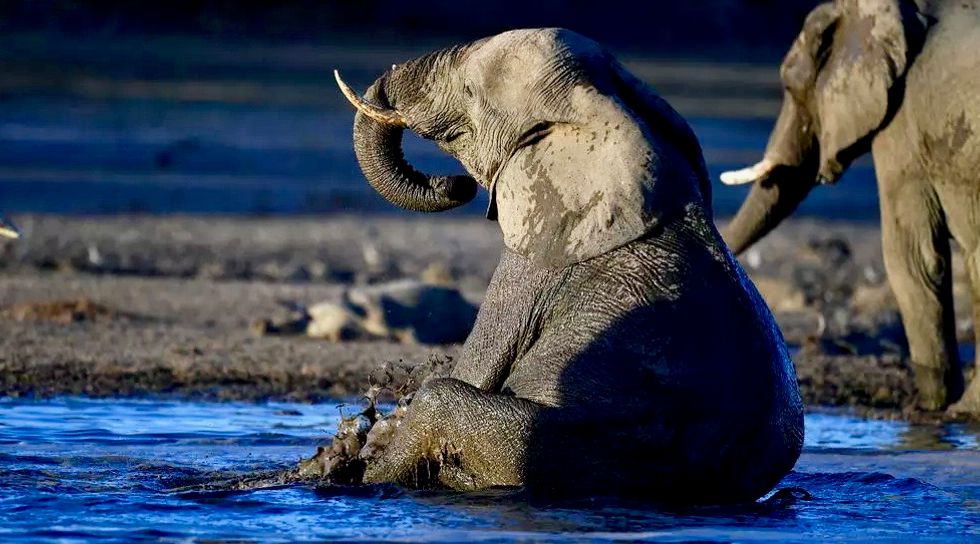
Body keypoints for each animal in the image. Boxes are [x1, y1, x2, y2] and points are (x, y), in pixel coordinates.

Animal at [333, 28, 803, 503]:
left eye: (469, 91)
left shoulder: (537, 258)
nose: (456, 185)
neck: (608, 112)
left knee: (440, 400)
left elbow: (478, 366)